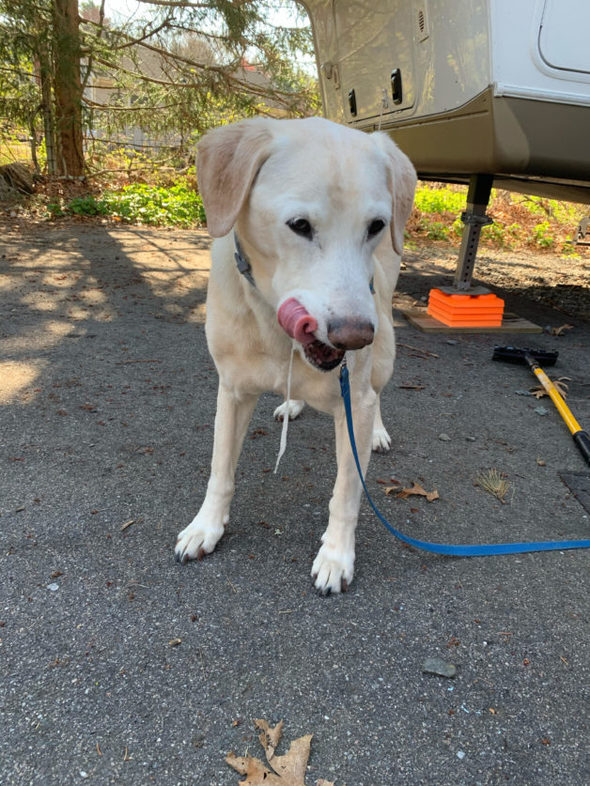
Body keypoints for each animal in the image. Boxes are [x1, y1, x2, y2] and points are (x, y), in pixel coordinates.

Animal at [175, 116, 416, 592]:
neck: (275, 330)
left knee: (378, 390)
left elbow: (346, 493)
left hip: (383, 342)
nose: (354, 337)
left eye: (376, 225)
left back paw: (377, 430)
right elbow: (220, 471)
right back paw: (293, 403)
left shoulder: (354, 399)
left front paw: (336, 556)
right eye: (300, 225)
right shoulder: (231, 391)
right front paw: (206, 527)